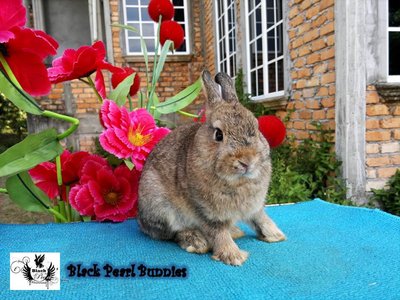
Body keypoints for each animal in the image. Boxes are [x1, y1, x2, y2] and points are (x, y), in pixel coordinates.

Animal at [138, 69, 284, 264]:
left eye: (256, 127)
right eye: (218, 134)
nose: (247, 161)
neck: (238, 181)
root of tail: (141, 221)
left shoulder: (254, 207)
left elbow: (261, 218)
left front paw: (276, 236)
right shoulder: (206, 211)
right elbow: (218, 232)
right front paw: (233, 256)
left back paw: (235, 232)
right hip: (161, 205)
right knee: (173, 233)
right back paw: (197, 242)